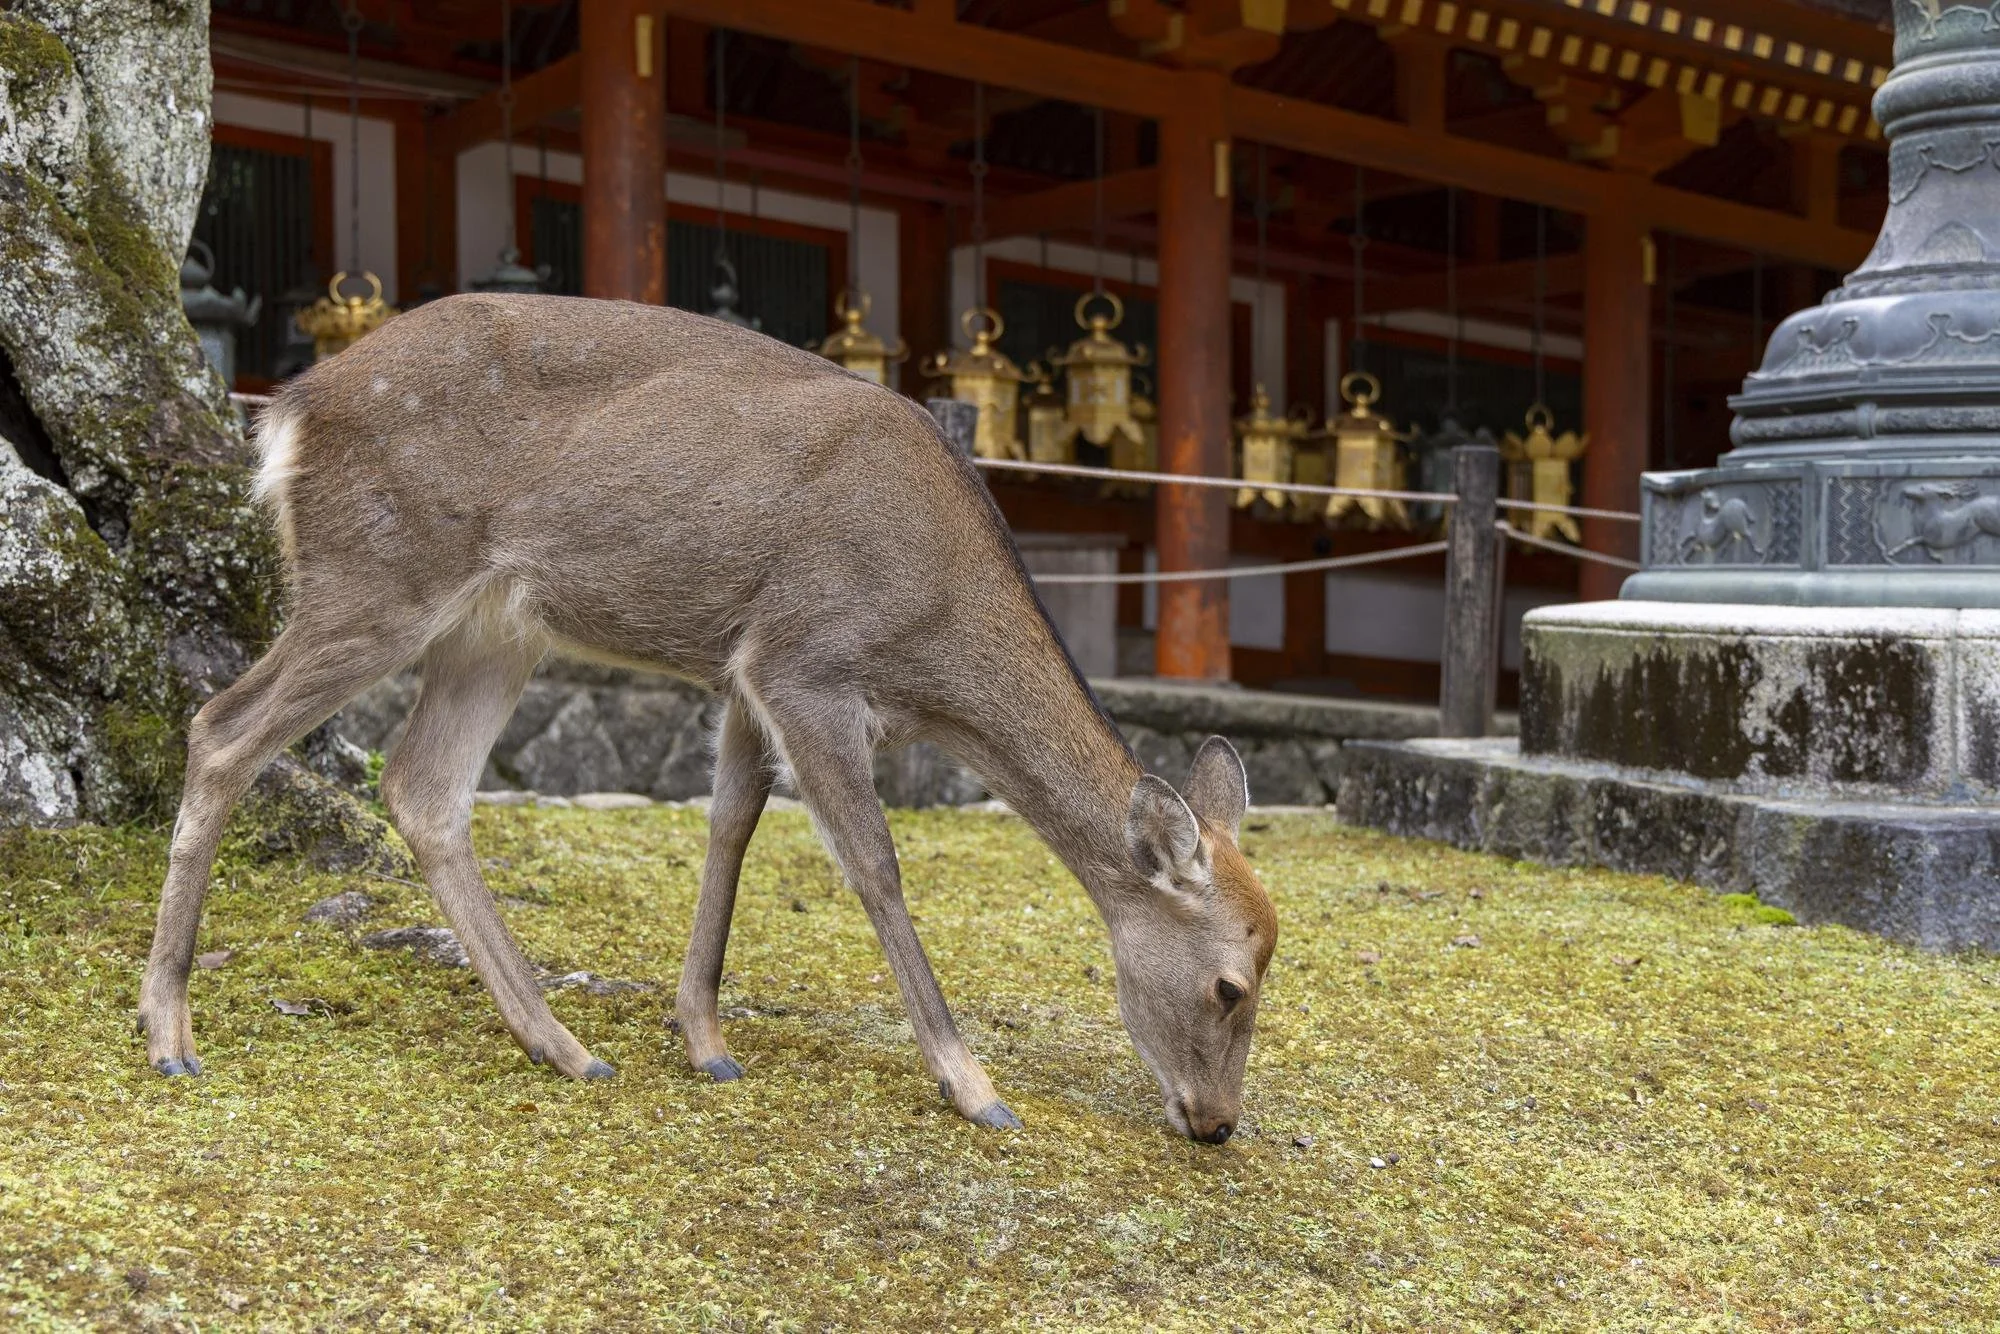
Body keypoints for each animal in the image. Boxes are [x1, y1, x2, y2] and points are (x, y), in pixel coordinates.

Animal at [137, 293, 1277, 1143]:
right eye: (1229, 985)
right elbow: (872, 862)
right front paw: (975, 1086)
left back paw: (562, 1043)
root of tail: (288, 409)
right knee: (222, 725)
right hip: (377, 572)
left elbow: (729, 826)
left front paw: (704, 1039)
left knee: (422, 785)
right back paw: (169, 1029)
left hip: (494, 624)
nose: (1217, 1123)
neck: (933, 648)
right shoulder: (808, 659)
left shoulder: (745, 673)